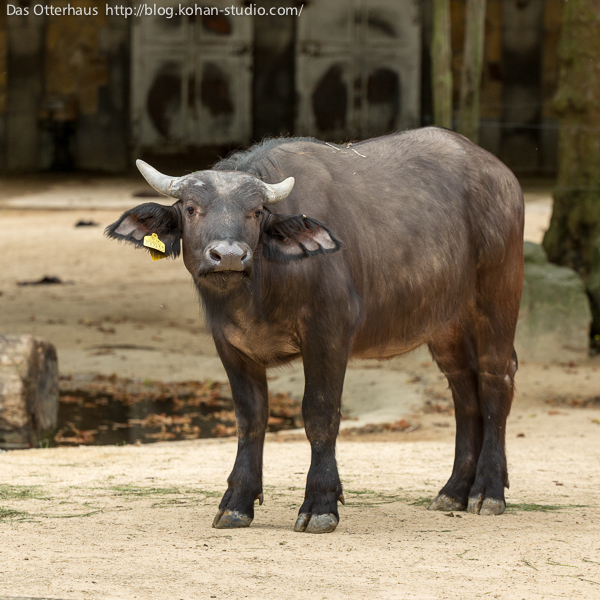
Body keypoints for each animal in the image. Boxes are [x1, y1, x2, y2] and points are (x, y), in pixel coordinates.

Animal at [108, 127, 524, 536]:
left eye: (255, 212)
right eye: (192, 209)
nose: (228, 256)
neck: (258, 291)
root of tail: (502, 176)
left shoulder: (328, 335)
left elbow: (320, 413)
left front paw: (320, 504)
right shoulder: (229, 345)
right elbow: (249, 417)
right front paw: (237, 502)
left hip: (497, 299)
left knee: (495, 378)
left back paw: (488, 491)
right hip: (445, 324)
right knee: (463, 389)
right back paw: (454, 490)